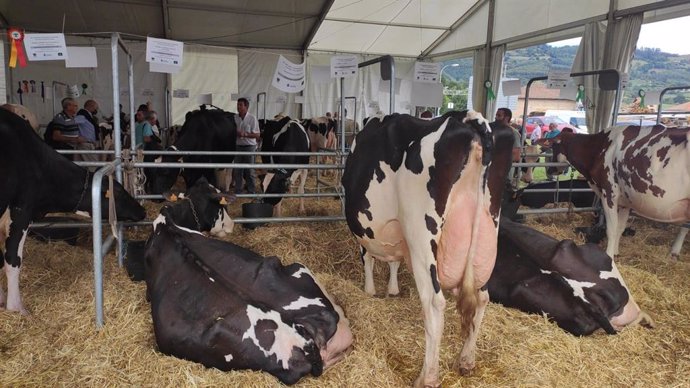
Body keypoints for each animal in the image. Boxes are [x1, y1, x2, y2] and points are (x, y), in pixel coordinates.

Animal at [342, 110, 512, 386]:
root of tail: (467, 119)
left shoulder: (366, 231)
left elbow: (367, 258)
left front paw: (370, 290)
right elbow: (394, 260)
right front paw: (392, 289)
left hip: (421, 234)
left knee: (434, 304)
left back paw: (427, 377)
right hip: (486, 238)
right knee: (482, 297)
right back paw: (466, 360)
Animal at [544, 125, 684, 328]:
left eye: (554, 146)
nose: (550, 169)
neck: (600, 147)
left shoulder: (609, 191)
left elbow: (612, 228)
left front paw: (609, 255)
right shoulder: (626, 200)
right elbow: (620, 227)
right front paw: (616, 251)